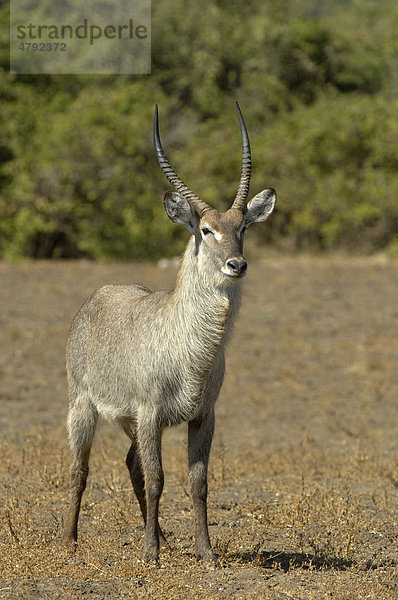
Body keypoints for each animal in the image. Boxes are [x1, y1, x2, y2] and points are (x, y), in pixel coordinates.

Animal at [62, 102, 276, 564]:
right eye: (206, 230)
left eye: (243, 228)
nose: (237, 264)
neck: (189, 347)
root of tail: (98, 296)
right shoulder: (150, 414)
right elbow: (159, 478)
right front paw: (150, 555)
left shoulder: (203, 416)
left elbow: (198, 483)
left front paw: (206, 554)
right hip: (85, 407)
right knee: (81, 468)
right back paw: (69, 541)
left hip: (129, 422)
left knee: (130, 465)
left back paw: (161, 535)